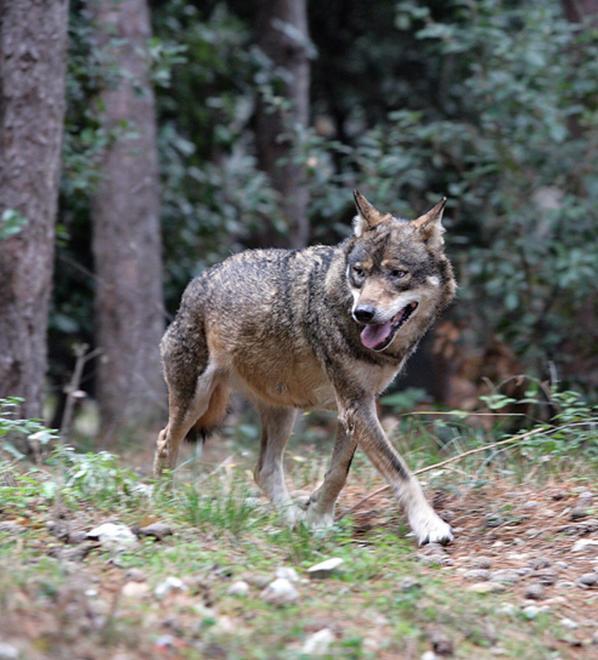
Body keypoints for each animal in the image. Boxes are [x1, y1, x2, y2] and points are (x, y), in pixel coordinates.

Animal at [154, 191, 457, 545]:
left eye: (397, 273)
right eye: (360, 272)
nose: (363, 313)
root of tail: (198, 281)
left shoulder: (355, 407)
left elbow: (338, 471)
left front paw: (316, 518)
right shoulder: (355, 406)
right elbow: (400, 470)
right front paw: (429, 525)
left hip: (283, 412)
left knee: (264, 470)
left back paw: (292, 521)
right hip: (196, 401)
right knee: (165, 442)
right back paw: (164, 503)